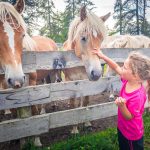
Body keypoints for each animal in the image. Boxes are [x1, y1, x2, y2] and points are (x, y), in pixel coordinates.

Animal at [62, 6, 110, 134]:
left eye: (101, 40)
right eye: (83, 38)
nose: (97, 73)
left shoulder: (86, 81)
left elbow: (86, 101)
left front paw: (87, 122)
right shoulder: (70, 81)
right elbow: (73, 104)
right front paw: (74, 128)